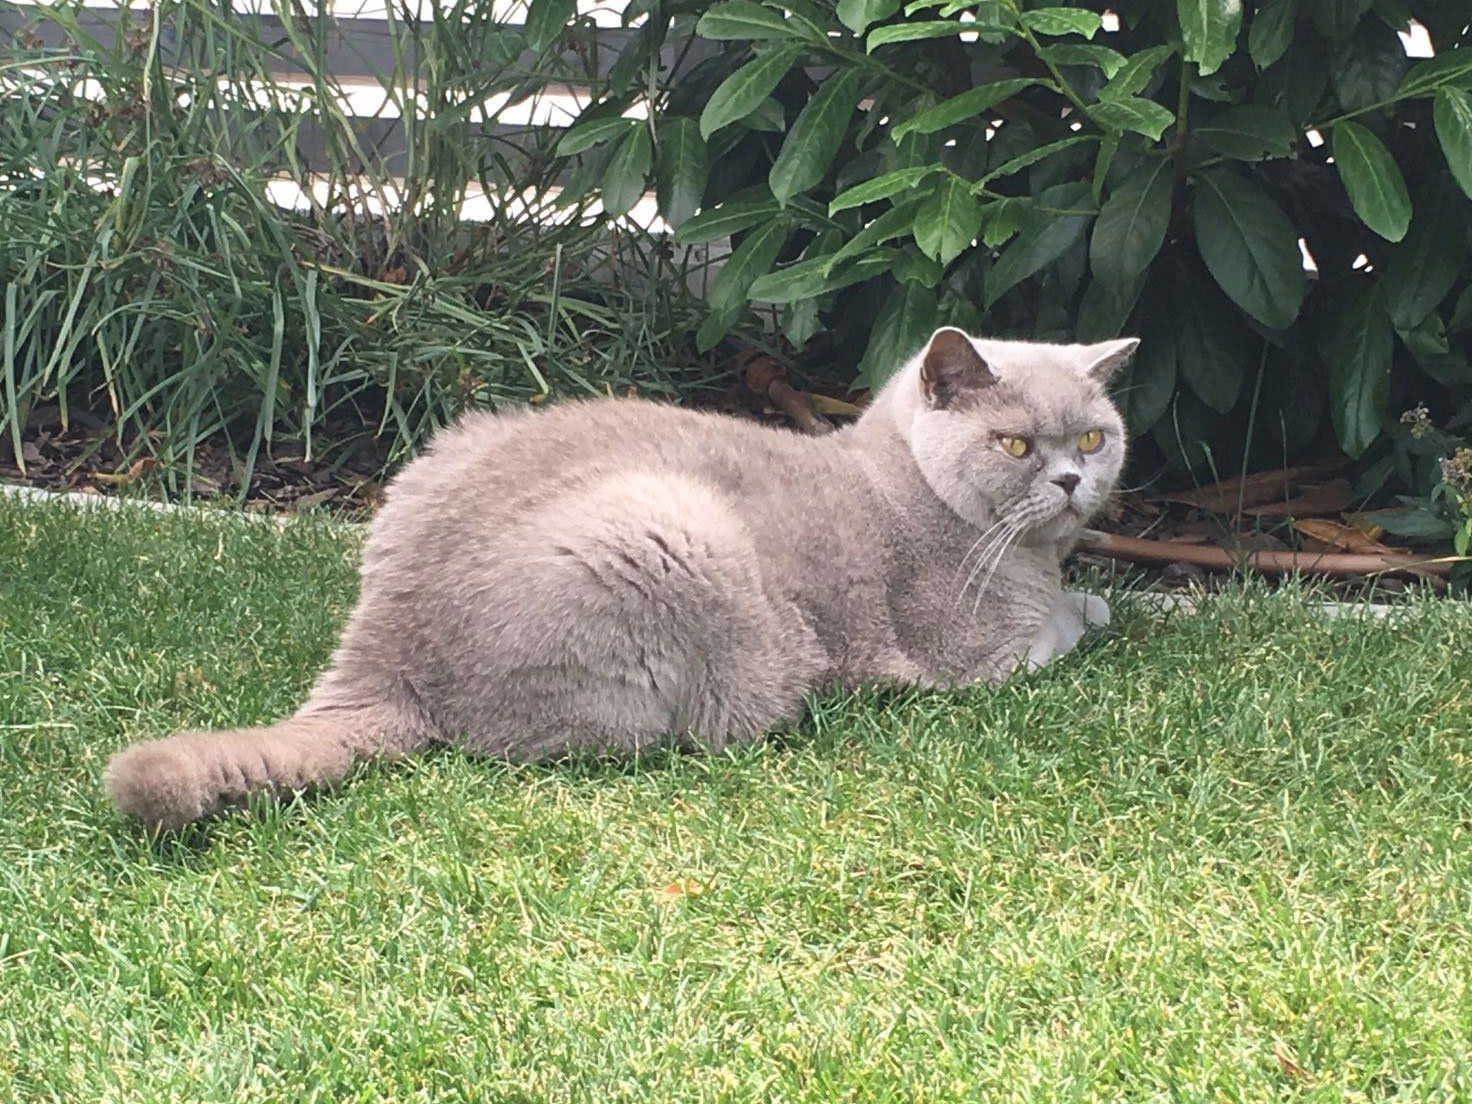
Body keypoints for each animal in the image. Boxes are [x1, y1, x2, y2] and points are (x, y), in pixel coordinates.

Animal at [106, 328, 1136, 830]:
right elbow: (1061, 626)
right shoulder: (976, 655)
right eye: (1015, 444)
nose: (1072, 481)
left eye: (1094, 436)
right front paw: (1094, 604)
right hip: (679, 541)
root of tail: (381, 642)